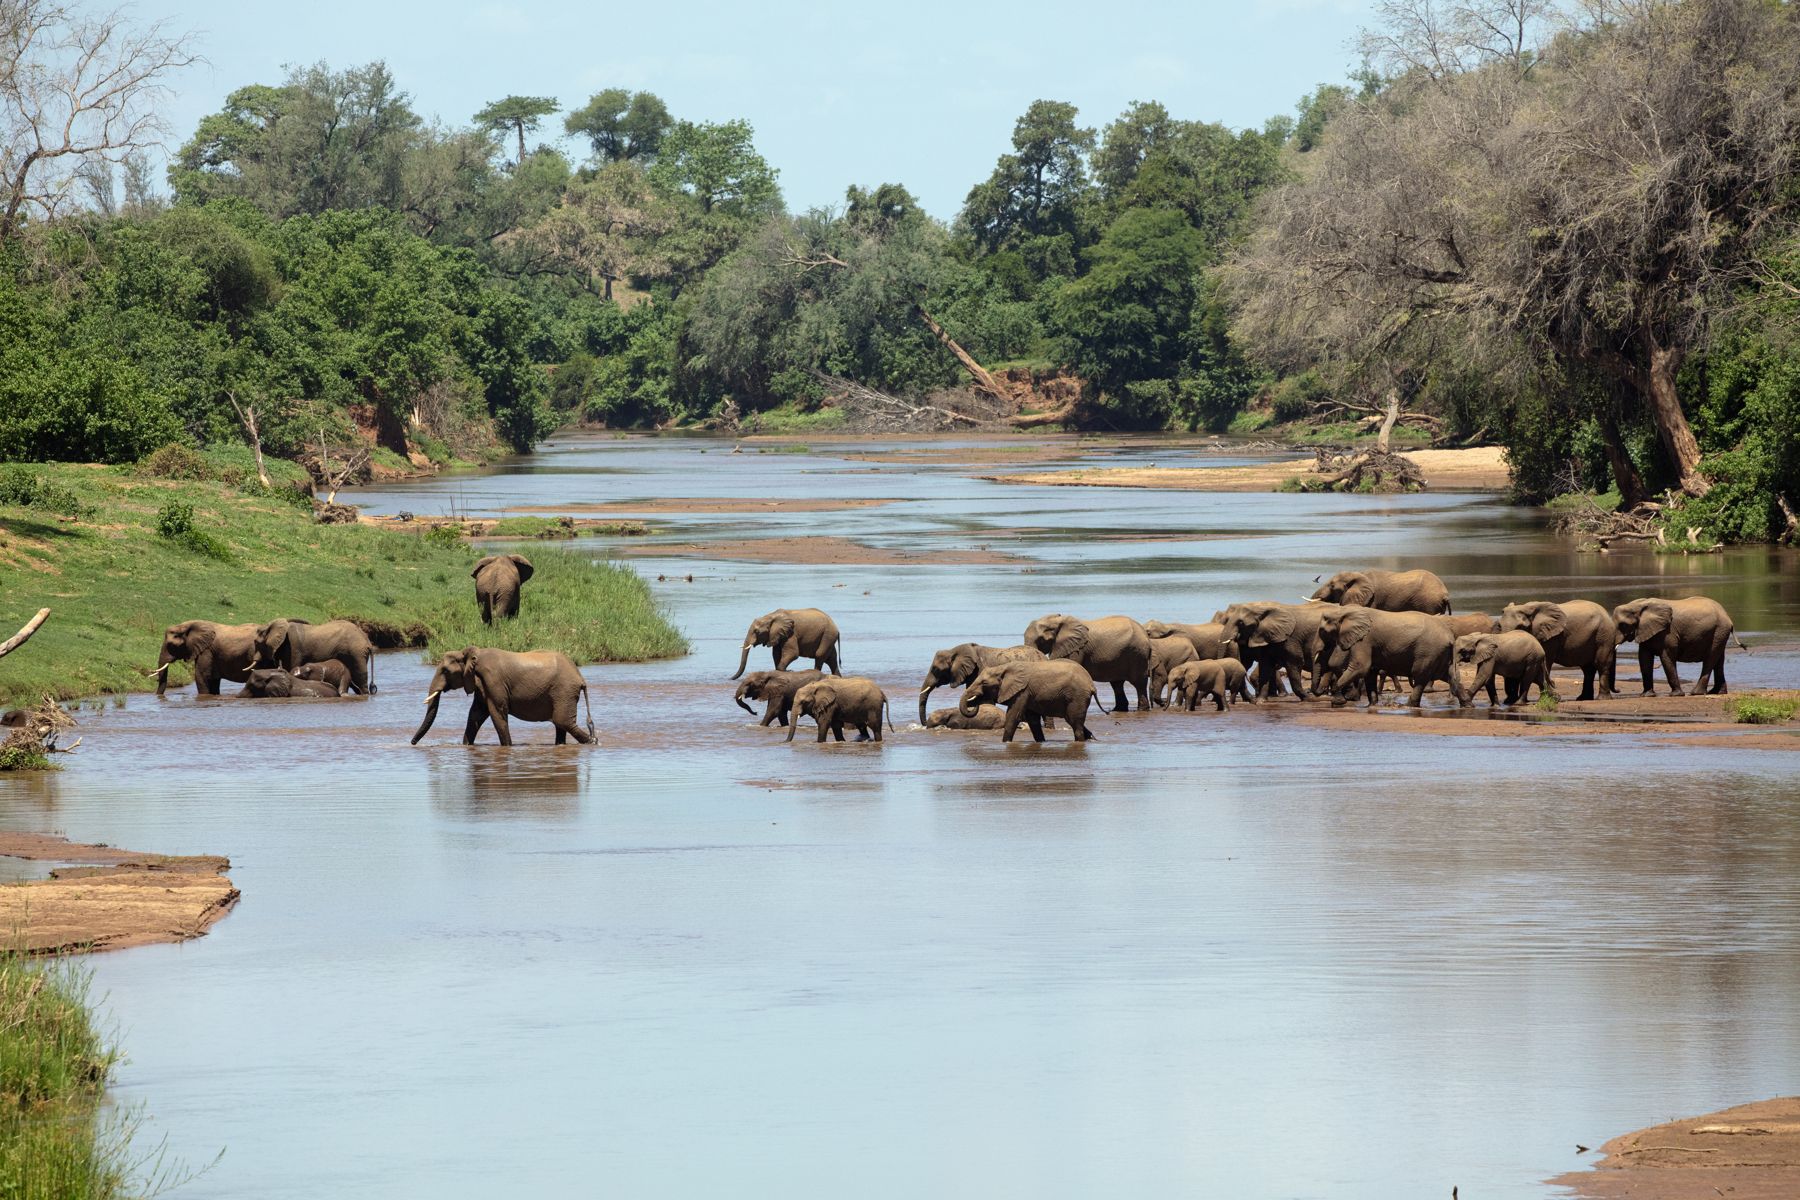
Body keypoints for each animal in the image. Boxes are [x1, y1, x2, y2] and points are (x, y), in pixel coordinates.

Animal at [411, 647, 595, 746]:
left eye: (445, 671)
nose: (412, 743)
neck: (470, 652)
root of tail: (580, 677)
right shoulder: (481, 684)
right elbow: (476, 714)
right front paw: (466, 746)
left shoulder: (493, 680)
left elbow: (497, 712)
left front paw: (508, 747)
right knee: (561, 725)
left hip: (564, 691)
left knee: (562, 721)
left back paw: (594, 742)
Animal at [959, 659, 1107, 743]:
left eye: (984, 683)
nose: (975, 700)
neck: (1003, 667)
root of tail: (1091, 685)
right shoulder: (1028, 694)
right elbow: (1033, 720)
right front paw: (1040, 742)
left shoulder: (1022, 691)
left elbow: (1013, 716)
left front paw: (1006, 743)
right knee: (1073, 721)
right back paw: (1092, 739)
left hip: (1077, 697)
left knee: (1075, 723)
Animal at [1022, 614, 1153, 712]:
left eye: (1041, 640)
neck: (1059, 620)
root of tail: (1145, 634)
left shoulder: (1077, 648)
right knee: (1117, 684)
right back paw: (1118, 709)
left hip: (1137, 653)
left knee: (1138, 682)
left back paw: (1141, 710)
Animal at [1317, 606, 1471, 708]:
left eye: (1322, 630)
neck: (1344, 611)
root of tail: (1451, 637)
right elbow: (1370, 672)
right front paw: (1372, 705)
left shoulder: (1364, 639)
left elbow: (1361, 667)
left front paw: (1337, 702)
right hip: (1439, 653)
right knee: (1448, 676)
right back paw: (1468, 705)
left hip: (1429, 652)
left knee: (1420, 677)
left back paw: (1409, 706)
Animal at [1611, 596, 1741, 696]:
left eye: (1623, 625)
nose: (1619, 690)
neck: (1638, 605)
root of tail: (1728, 618)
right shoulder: (1646, 630)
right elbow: (1644, 658)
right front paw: (1646, 695)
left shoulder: (1668, 632)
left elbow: (1667, 657)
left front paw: (1676, 695)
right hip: (1720, 634)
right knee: (1719, 661)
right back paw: (1717, 692)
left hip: (1719, 631)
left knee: (1710, 659)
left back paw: (1696, 693)